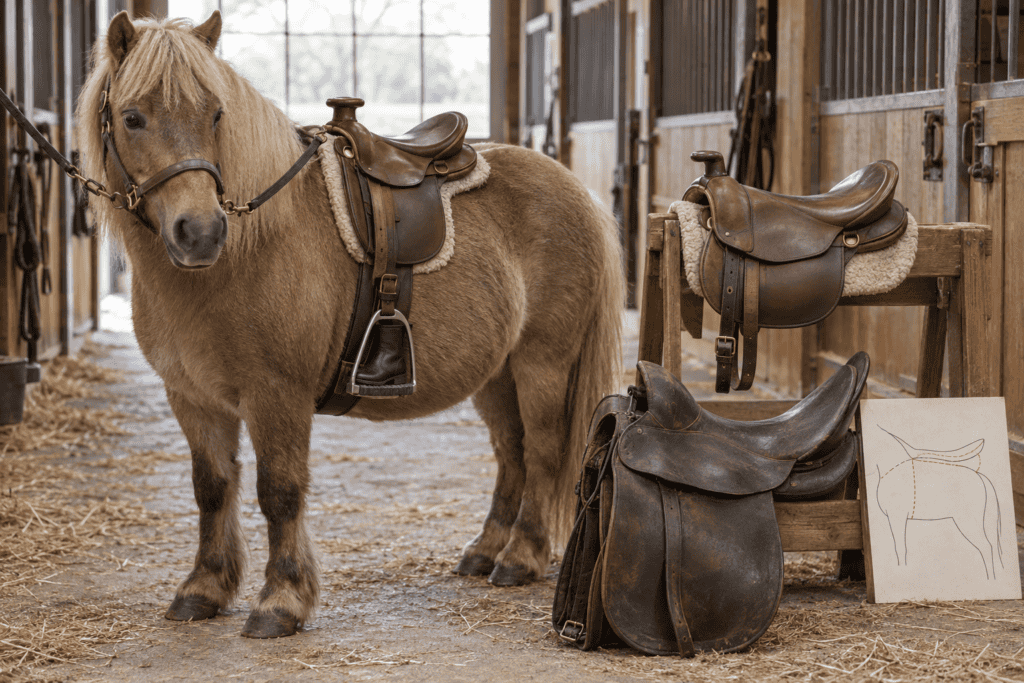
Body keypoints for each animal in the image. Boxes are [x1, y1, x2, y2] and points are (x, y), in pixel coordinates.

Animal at [76, 12, 624, 638]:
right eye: (132, 117)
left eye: (215, 114)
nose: (201, 232)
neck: (247, 249)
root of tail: (573, 188)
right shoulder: (192, 397)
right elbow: (212, 489)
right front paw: (204, 589)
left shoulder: (277, 395)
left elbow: (279, 492)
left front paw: (282, 601)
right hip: (497, 373)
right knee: (512, 453)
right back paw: (486, 551)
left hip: (543, 362)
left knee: (544, 450)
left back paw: (521, 557)